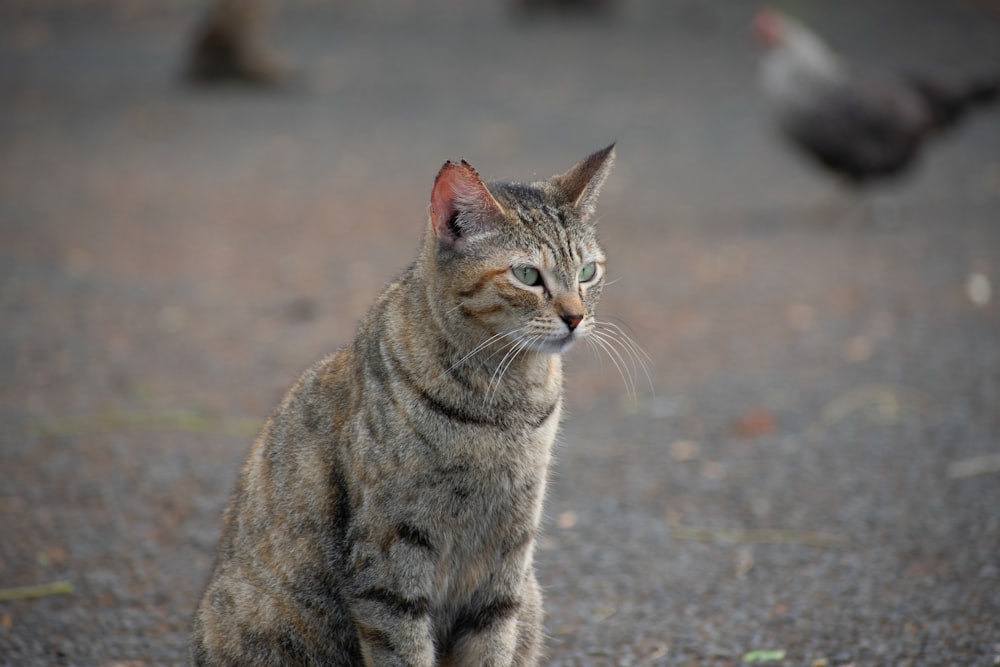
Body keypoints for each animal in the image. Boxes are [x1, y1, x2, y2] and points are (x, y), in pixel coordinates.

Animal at [189, 145, 616, 664]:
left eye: (588, 271)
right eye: (527, 275)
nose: (576, 317)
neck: (504, 402)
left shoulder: (506, 559)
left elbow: (492, 646)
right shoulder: (391, 559)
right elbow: (405, 648)